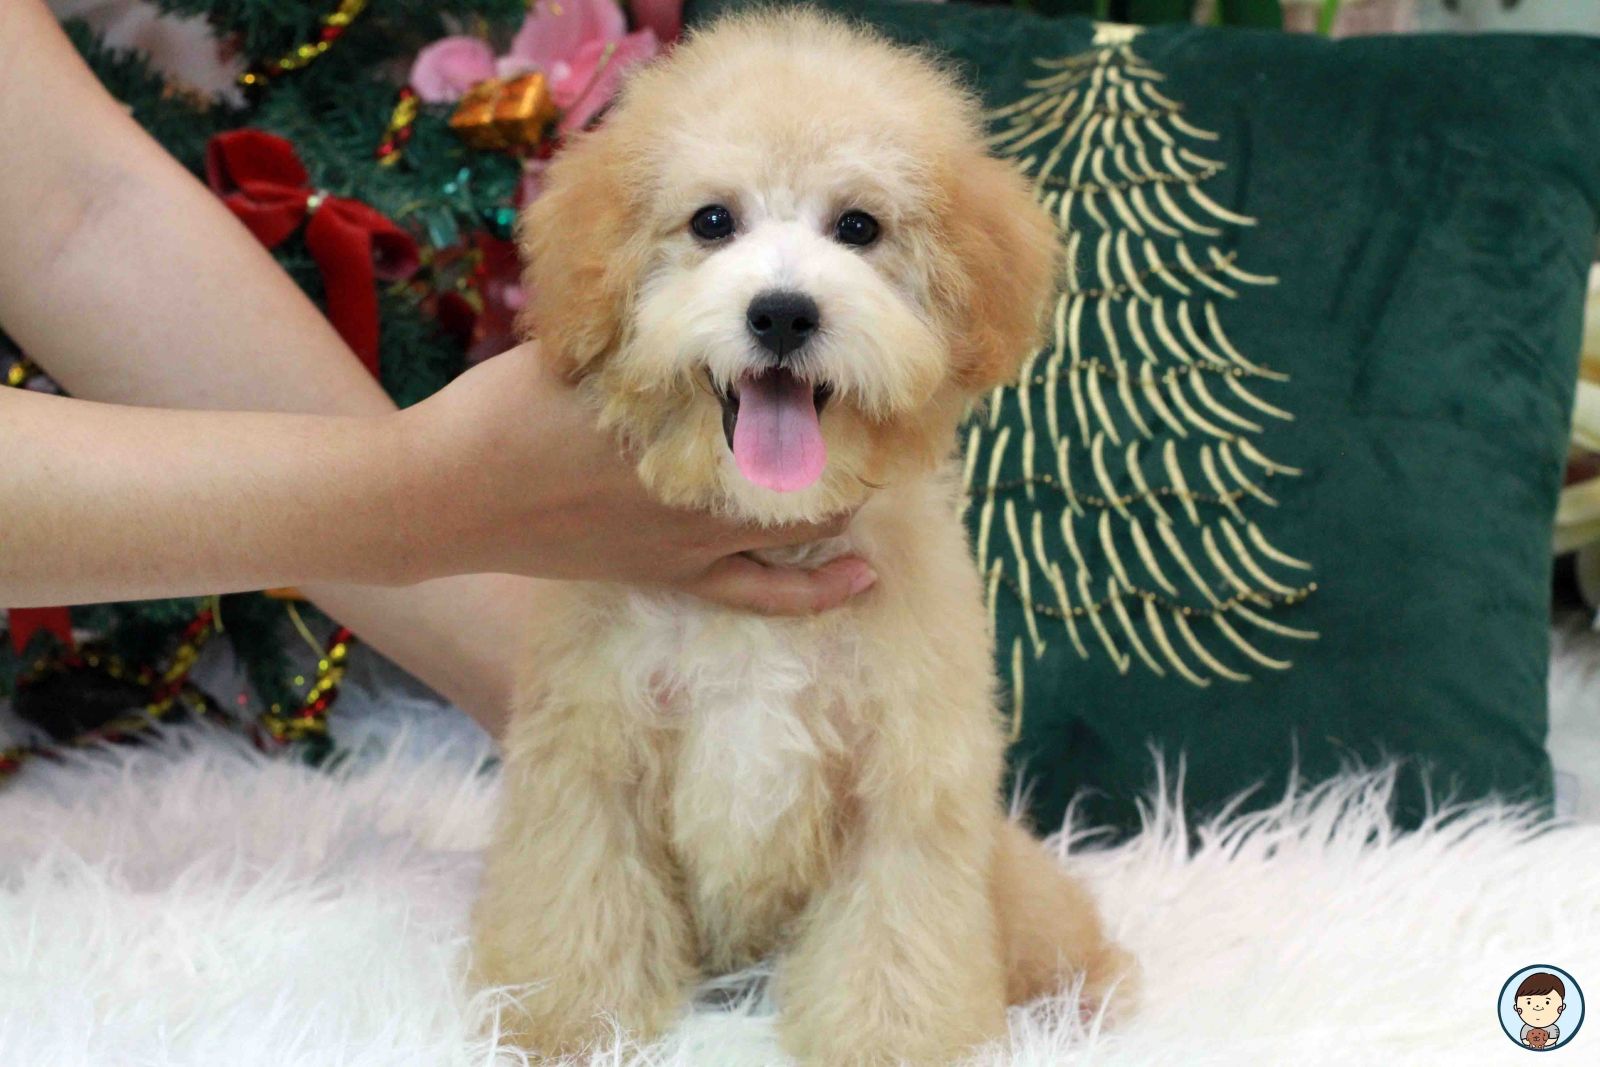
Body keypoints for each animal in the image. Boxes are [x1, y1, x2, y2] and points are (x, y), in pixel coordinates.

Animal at [472, 10, 1136, 1064]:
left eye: (858, 227)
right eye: (712, 222)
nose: (783, 311)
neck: (771, 533)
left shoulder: (907, 784)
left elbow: (893, 939)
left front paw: (889, 1045)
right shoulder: (590, 752)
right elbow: (580, 894)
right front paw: (566, 1023)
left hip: (1011, 874)